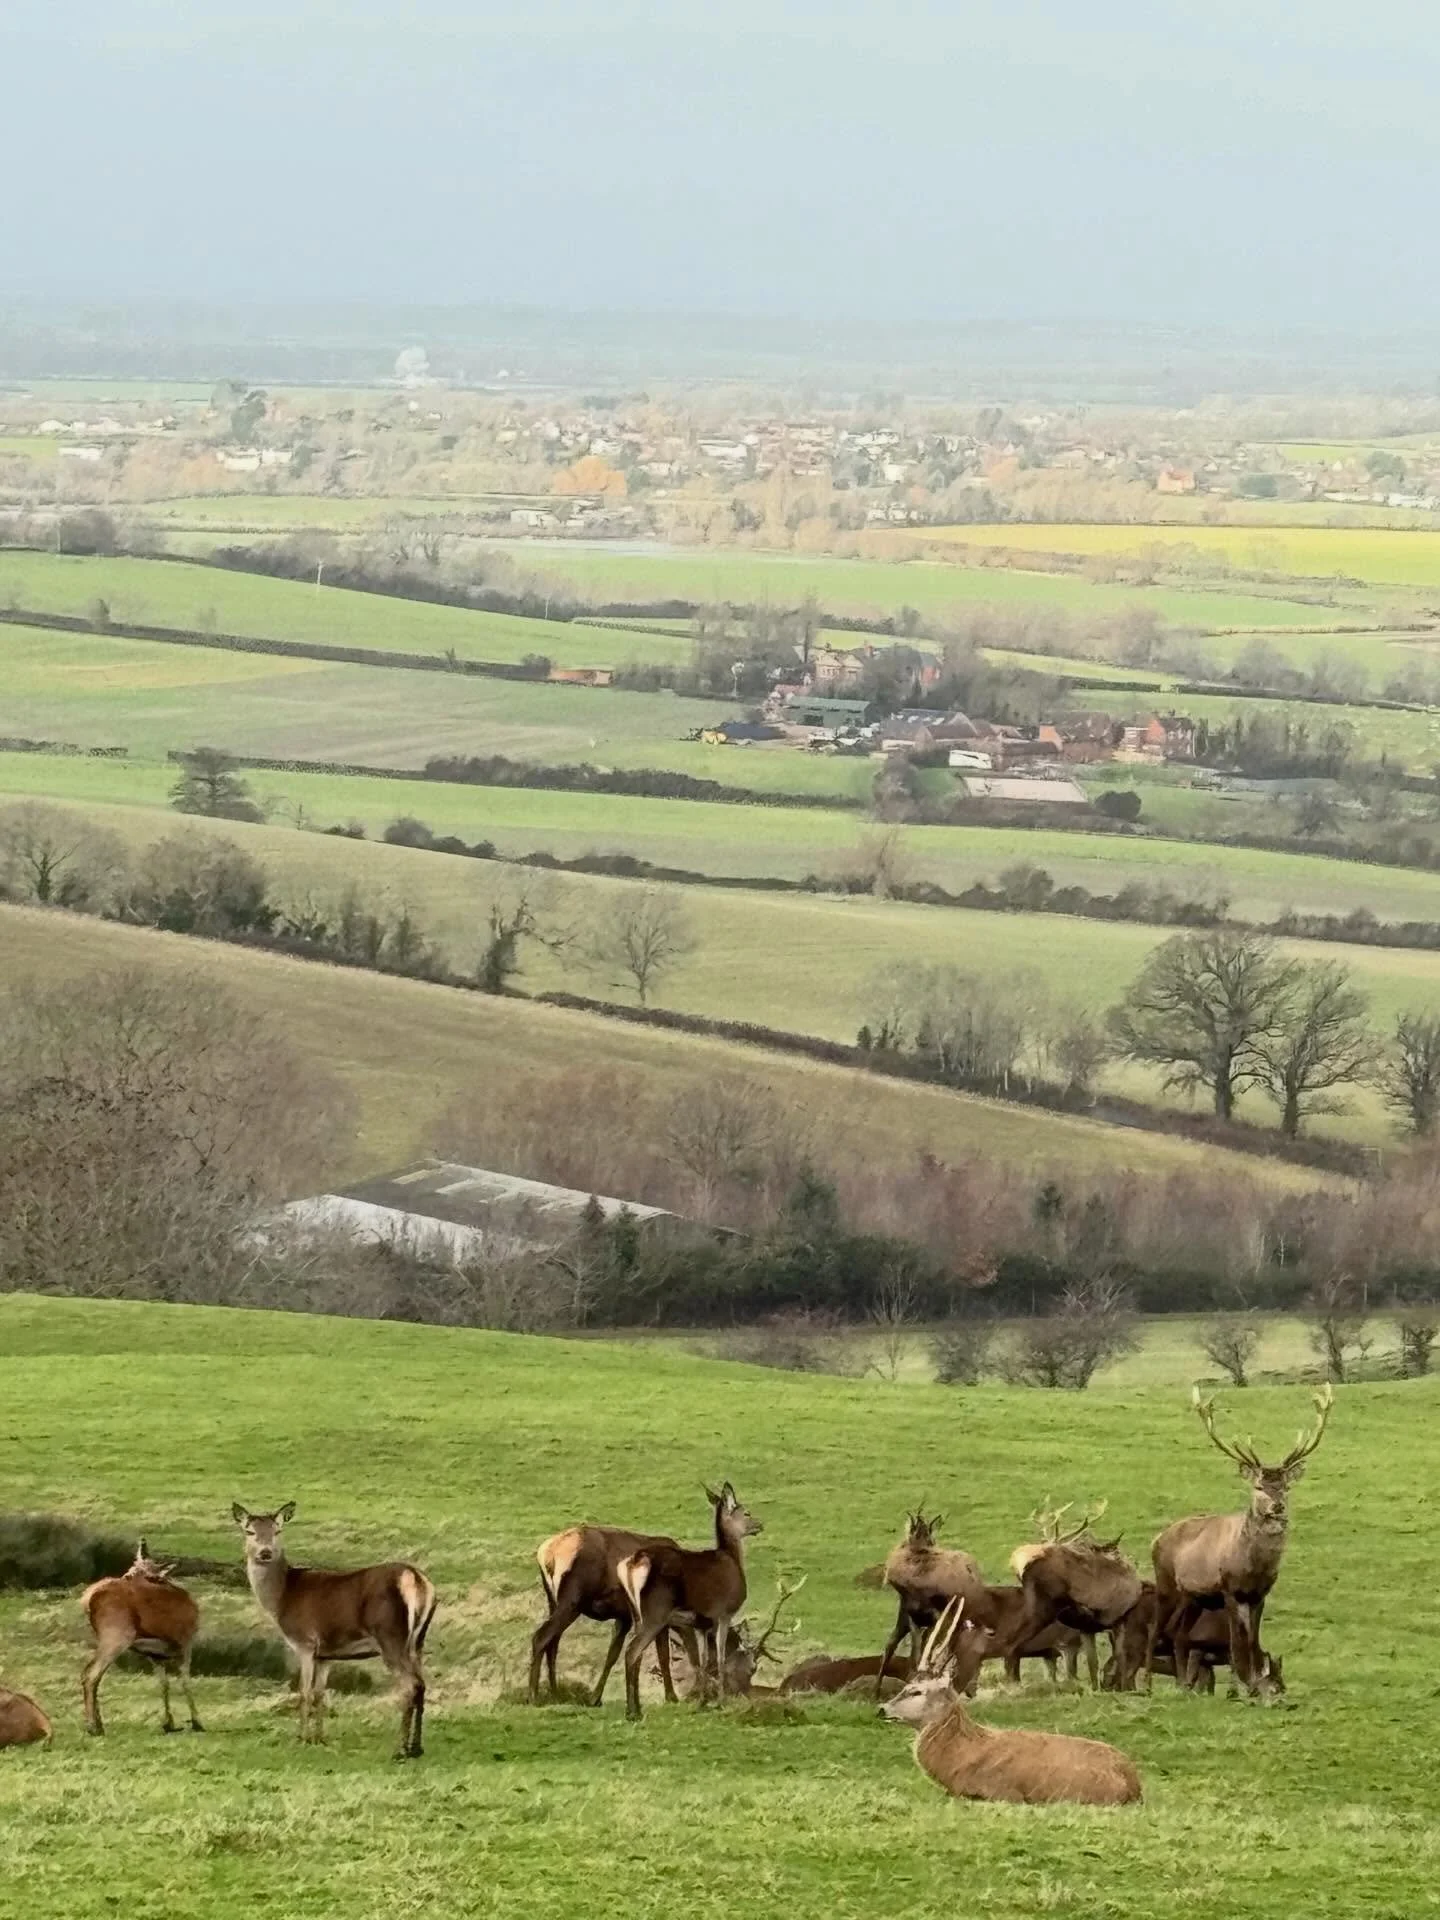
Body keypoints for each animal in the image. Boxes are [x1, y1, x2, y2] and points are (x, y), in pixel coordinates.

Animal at [81, 1540, 202, 1737]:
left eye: (133, 1569)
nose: (127, 1576)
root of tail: (88, 1598)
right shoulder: (185, 1641)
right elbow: (185, 1681)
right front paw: (197, 1722)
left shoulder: (155, 1655)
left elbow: (164, 1683)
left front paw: (168, 1723)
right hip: (117, 1635)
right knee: (91, 1674)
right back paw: (94, 1727)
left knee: (90, 1673)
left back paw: (96, 1724)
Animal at [232, 1502, 437, 1758]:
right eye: (249, 1531)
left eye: (277, 1530)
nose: (265, 1552)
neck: (282, 1599)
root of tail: (416, 1579)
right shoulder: (326, 1654)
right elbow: (321, 1693)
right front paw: (319, 1738)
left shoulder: (305, 1642)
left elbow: (304, 1691)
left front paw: (302, 1738)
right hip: (418, 1640)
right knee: (422, 1685)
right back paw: (417, 1747)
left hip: (390, 1635)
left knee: (410, 1685)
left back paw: (401, 1749)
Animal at [529, 1521, 705, 1707]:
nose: (694, 1693)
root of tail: (546, 1553)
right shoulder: (657, 1617)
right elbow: (663, 1654)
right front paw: (671, 1697)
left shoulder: (625, 1617)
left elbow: (615, 1655)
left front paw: (596, 1698)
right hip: (571, 1601)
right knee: (541, 1637)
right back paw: (533, 1695)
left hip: (553, 1601)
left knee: (553, 1643)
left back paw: (555, 1693)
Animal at [616, 1482, 761, 1720]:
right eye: (746, 1512)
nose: (760, 1524)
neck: (733, 1560)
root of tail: (635, 1562)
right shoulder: (724, 1613)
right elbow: (720, 1659)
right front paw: (721, 1702)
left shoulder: (701, 1624)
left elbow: (702, 1661)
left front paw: (702, 1702)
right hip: (655, 1612)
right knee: (631, 1652)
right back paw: (632, 1712)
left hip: (636, 1613)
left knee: (636, 1655)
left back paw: (637, 1708)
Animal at [1150, 1385, 1332, 1697]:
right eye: (1258, 1486)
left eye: (1285, 1486)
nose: (1277, 1506)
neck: (1253, 1566)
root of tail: (1157, 1538)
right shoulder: (1230, 1589)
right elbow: (1238, 1640)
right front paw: (1248, 1686)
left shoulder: (1260, 1592)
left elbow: (1253, 1639)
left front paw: (1258, 1681)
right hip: (1166, 1583)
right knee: (1156, 1631)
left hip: (1193, 1597)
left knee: (1178, 1634)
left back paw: (1184, 1684)